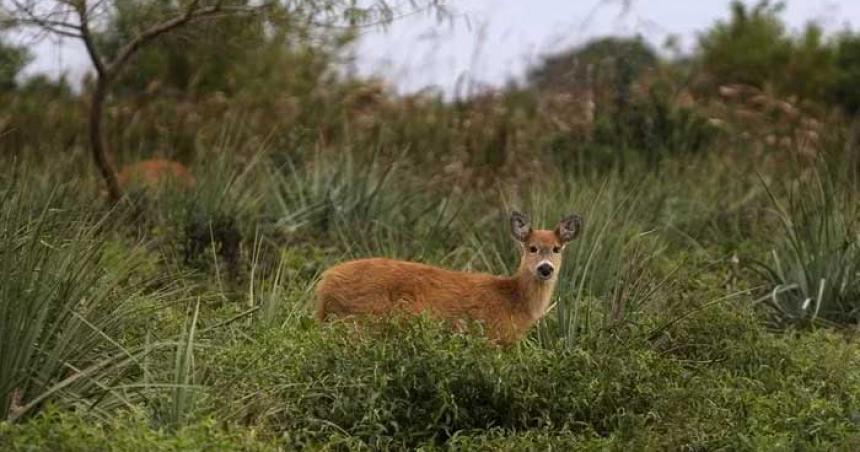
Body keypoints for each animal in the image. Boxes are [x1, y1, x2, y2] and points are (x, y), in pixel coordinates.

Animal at [316, 210, 584, 344]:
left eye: (557, 249)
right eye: (532, 248)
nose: (545, 269)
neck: (513, 300)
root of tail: (324, 284)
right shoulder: (493, 336)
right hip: (363, 319)